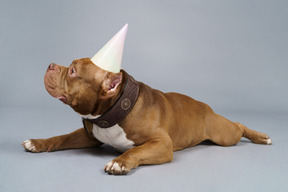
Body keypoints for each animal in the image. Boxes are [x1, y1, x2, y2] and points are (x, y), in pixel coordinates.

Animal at [22, 57, 272, 175]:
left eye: (73, 71)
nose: (50, 64)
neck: (112, 112)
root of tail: (207, 107)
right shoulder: (89, 136)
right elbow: (62, 137)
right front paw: (37, 142)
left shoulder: (161, 144)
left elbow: (135, 150)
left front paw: (119, 162)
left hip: (223, 135)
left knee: (238, 125)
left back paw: (261, 137)